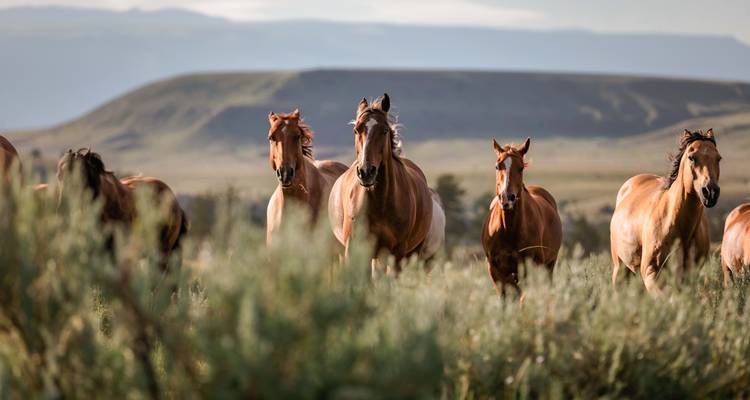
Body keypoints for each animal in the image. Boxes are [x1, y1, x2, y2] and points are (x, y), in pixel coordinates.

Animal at [328, 94, 445, 275]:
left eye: (384, 131)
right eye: (356, 130)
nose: (366, 171)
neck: (379, 202)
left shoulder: (397, 254)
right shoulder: (354, 250)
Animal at [481, 138, 562, 297]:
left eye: (521, 168)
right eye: (497, 166)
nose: (507, 198)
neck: (509, 231)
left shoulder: (529, 268)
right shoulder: (495, 270)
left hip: (549, 266)